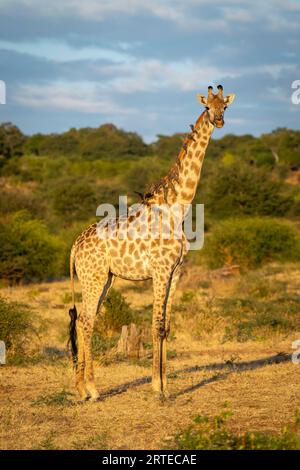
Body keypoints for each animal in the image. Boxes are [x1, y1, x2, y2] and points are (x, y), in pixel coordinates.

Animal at [68, 85, 234, 400]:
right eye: (207, 107)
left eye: (226, 107)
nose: (218, 121)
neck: (177, 209)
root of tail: (74, 247)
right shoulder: (159, 271)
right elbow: (156, 325)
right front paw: (158, 389)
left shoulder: (176, 272)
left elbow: (167, 326)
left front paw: (165, 384)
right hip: (93, 276)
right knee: (85, 321)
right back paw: (93, 389)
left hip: (104, 278)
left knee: (83, 319)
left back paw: (81, 389)